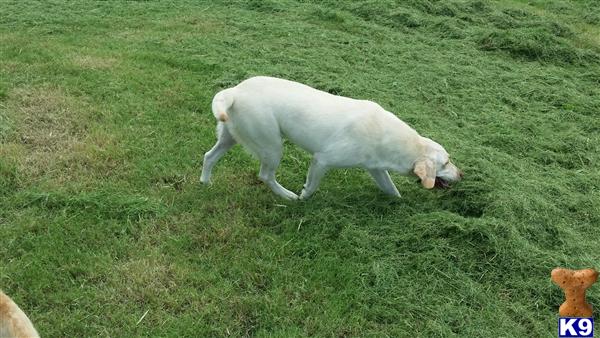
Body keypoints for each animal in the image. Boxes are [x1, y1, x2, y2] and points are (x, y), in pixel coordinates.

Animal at [199, 75, 462, 199]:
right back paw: (288, 196)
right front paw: (303, 197)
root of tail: (235, 90)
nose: (462, 174)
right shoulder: (322, 160)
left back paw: (205, 183)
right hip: (272, 146)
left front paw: (399, 202)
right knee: (265, 175)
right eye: (446, 162)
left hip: (230, 138)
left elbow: (392, 190)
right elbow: (311, 188)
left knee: (208, 156)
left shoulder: (376, 169)